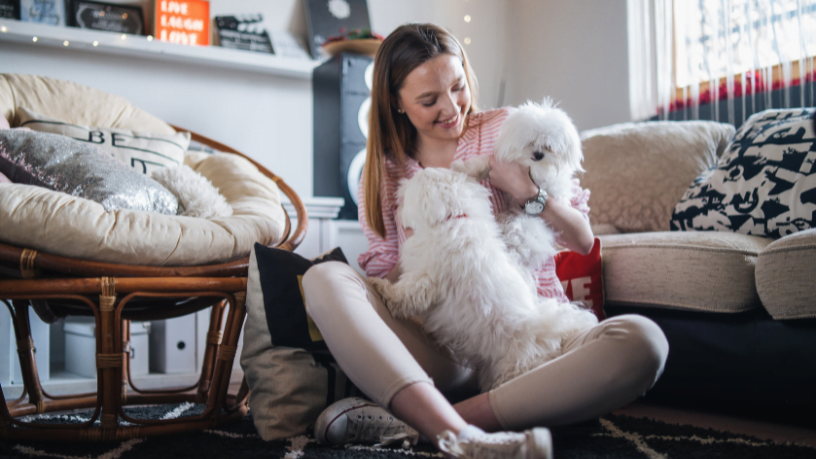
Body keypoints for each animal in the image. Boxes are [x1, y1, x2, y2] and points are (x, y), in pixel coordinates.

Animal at [366, 167, 596, 390]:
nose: (397, 207)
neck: (453, 219)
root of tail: (548, 335)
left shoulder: (426, 278)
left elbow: (406, 293)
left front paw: (381, 288)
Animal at [452, 97, 580, 270]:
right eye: (531, 142)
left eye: (548, 146)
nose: (538, 155)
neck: (529, 166)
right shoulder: (498, 162)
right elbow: (481, 163)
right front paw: (462, 169)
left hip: (528, 226)